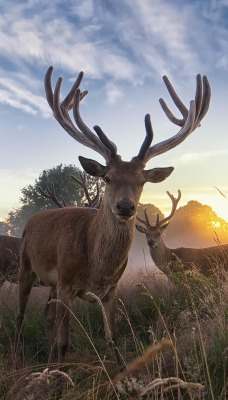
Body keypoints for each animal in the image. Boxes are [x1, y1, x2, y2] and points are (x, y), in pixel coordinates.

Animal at [16, 66, 211, 368]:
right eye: (107, 178)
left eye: (142, 181)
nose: (126, 206)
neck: (96, 267)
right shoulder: (66, 283)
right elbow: (65, 342)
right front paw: (61, 374)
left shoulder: (110, 290)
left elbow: (114, 340)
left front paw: (118, 373)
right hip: (26, 266)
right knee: (20, 317)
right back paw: (21, 359)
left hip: (50, 284)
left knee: (46, 315)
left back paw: (48, 361)